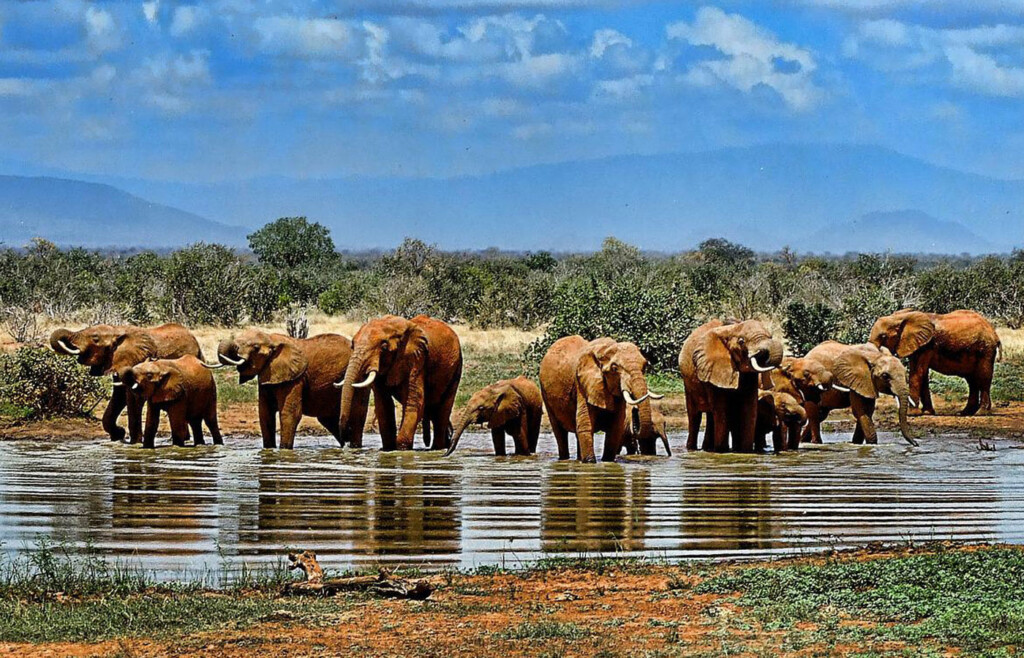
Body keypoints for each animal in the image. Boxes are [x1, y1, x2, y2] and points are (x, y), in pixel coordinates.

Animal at [50, 323, 202, 442]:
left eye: (95, 338)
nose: (121, 431)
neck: (116, 330)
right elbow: (119, 396)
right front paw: (119, 435)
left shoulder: (135, 362)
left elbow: (132, 397)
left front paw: (134, 443)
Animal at [203, 331, 356, 450]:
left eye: (256, 348)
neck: (272, 339)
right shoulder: (267, 376)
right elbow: (265, 414)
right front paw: (269, 450)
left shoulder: (294, 378)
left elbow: (289, 413)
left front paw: (284, 450)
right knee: (328, 419)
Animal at [335, 315, 464, 452]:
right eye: (353, 345)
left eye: (384, 346)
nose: (345, 440)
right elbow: (383, 405)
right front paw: (388, 449)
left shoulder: (416, 359)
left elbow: (414, 402)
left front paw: (402, 449)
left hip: (457, 367)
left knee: (443, 409)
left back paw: (437, 448)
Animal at [679, 319, 782, 452]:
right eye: (741, 341)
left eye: (770, 336)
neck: (732, 328)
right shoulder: (714, 368)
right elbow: (722, 408)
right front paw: (722, 451)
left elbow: (749, 407)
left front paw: (745, 451)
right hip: (688, 383)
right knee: (695, 416)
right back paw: (693, 449)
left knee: (711, 416)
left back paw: (707, 448)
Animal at [868, 311, 1003, 417]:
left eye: (883, 336)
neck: (902, 317)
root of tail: (994, 332)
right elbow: (922, 374)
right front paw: (927, 412)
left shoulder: (926, 345)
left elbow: (917, 373)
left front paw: (912, 414)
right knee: (972, 381)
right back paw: (965, 413)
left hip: (986, 350)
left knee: (983, 378)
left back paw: (981, 412)